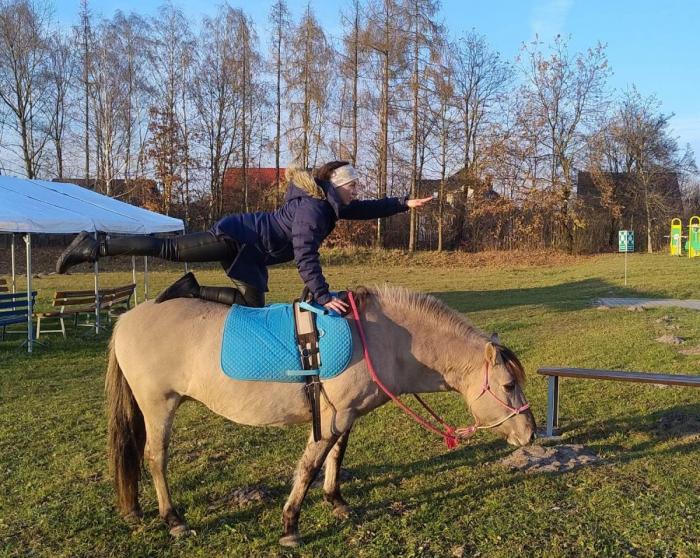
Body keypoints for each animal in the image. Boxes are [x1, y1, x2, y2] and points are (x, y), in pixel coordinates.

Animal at [105, 285, 536, 546]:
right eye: (508, 385)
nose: (531, 434)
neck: (382, 340)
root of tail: (127, 318)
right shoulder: (329, 419)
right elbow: (310, 466)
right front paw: (290, 524)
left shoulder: (346, 415)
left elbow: (336, 457)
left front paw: (335, 500)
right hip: (159, 405)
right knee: (156, 459)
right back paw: (173, 518)